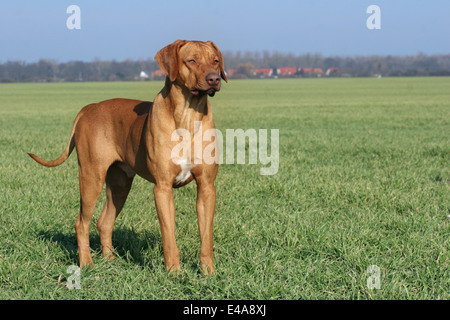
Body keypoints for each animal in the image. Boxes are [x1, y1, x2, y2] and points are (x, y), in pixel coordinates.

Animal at [28, 40, 227, 274]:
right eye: (192, 60)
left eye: (215, 60)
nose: (214, 78)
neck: (188, 115)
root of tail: (89, 108)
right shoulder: (162, 188)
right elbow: (169, 236)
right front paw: (174, 273)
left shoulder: (206, 187)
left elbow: (206, 236)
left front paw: (208, 272)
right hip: (91, 177)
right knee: (81, 223)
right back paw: (86, 263)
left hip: (119, 184)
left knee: (104, 222)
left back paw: (110, 260)